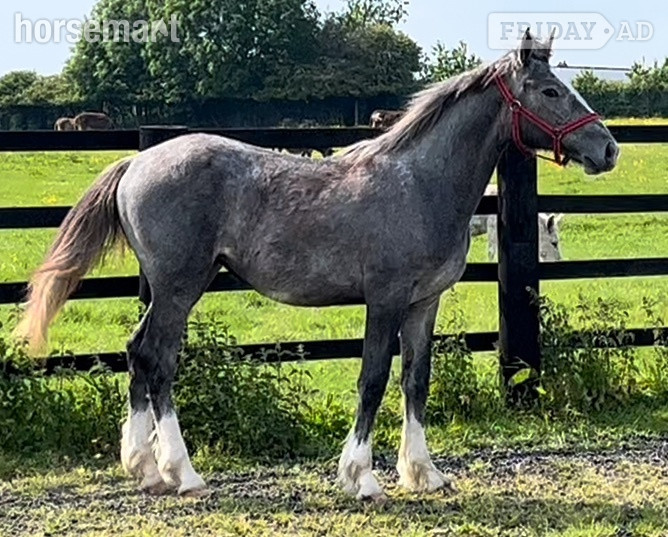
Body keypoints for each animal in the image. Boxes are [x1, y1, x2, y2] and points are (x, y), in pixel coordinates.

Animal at [15, 30, 618, 501]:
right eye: (550, 90)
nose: (608, 149)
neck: (420, 183)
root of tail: (136, 161)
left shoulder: (424, 303)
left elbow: (415, 380)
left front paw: (423, 472)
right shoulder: (385, 301)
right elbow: (373, 379)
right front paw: (361, 477)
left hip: (177, 288)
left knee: (138, 355)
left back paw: (144, 468)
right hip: (177, 288)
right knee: (157, 361)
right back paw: (182, 473)